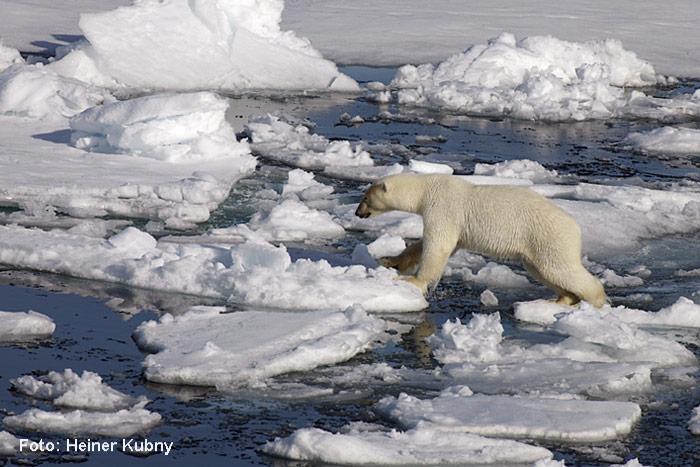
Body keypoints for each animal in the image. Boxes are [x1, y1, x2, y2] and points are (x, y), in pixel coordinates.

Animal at [356, 174, 608, 308]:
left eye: (365, 197)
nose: (358, 212)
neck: (428, 188)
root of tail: (575, 228)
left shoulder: (443, 208)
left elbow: (438, 245)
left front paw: (413, 281)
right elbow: (432, 245)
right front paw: (389, 260)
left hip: (548, 237)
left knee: (561, 269)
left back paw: (595, 300)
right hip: (536, 247)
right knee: (542, 270)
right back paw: (559, 300)